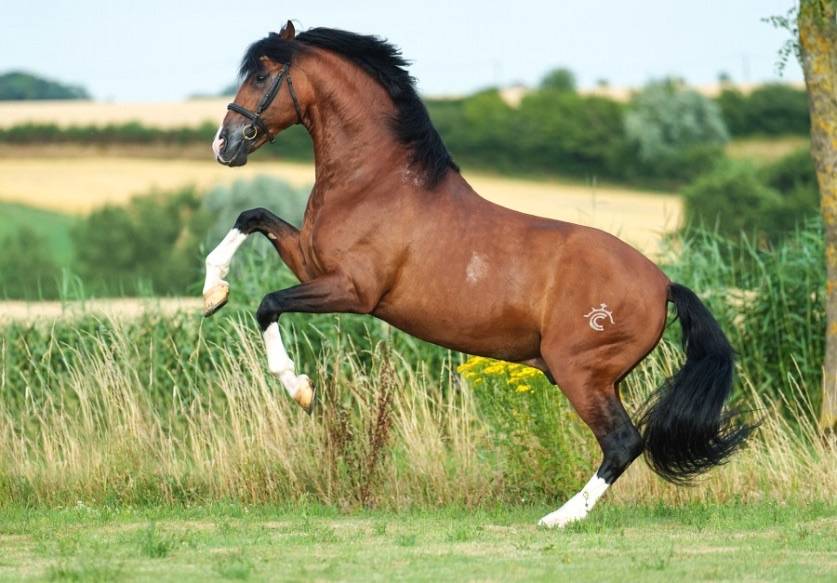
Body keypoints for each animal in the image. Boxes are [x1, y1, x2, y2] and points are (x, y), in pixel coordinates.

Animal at [203, 21, 753, 527]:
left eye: (260, 75)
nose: (223, 145)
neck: (376, 184)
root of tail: (663, 284)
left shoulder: (352, 291)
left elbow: (268, 304)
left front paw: (299, 389)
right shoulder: (309, 259)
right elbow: (251, 216)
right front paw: (213, 291)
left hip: (580, 372)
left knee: (622, 443)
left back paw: (559, 518)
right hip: (601, 378)